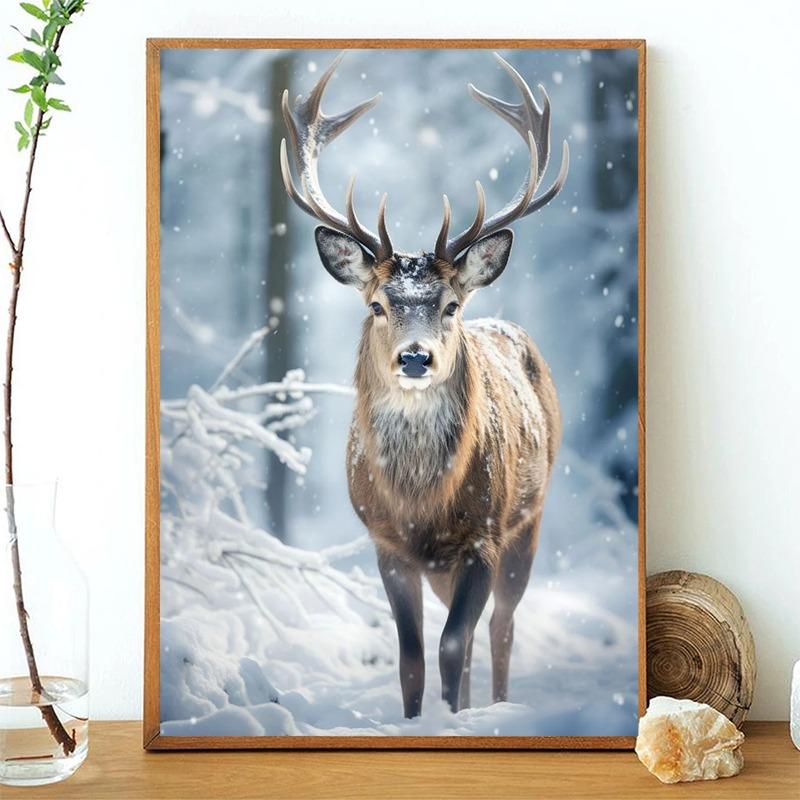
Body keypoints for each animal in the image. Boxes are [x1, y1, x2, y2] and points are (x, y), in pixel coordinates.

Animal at [280, 52, 569, 718]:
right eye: (379, 304)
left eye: (451, 305)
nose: (416, 358)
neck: (421, 505)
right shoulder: (385, 542)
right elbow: (412, 656)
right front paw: (417, 719)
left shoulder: (484, 535)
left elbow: (452, 644)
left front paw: (456, 720)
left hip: (529, 518)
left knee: (501, 626)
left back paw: (495, 706)